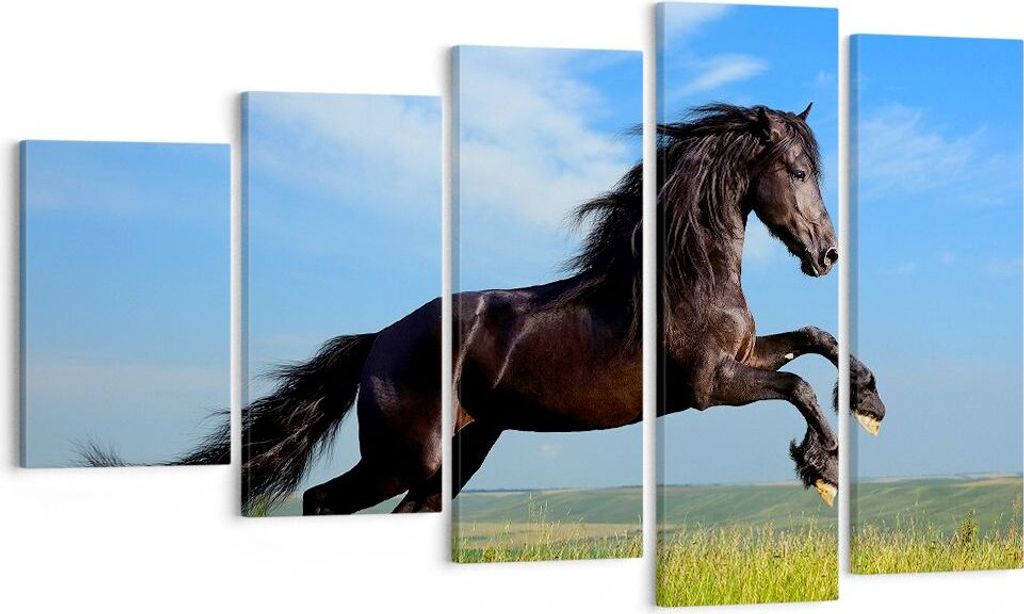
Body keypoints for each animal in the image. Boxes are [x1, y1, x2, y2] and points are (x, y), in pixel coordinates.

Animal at [183, 102, 884, 515]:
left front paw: (869, 404)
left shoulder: (743, 357)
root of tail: (378, 338)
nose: (827, 254)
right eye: (798, 172)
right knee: (321, 500)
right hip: (406, 457)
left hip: (458, 455)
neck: (687, 276)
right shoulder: (711, 385)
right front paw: (823, 467)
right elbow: (799, 387)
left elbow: (815, 337)